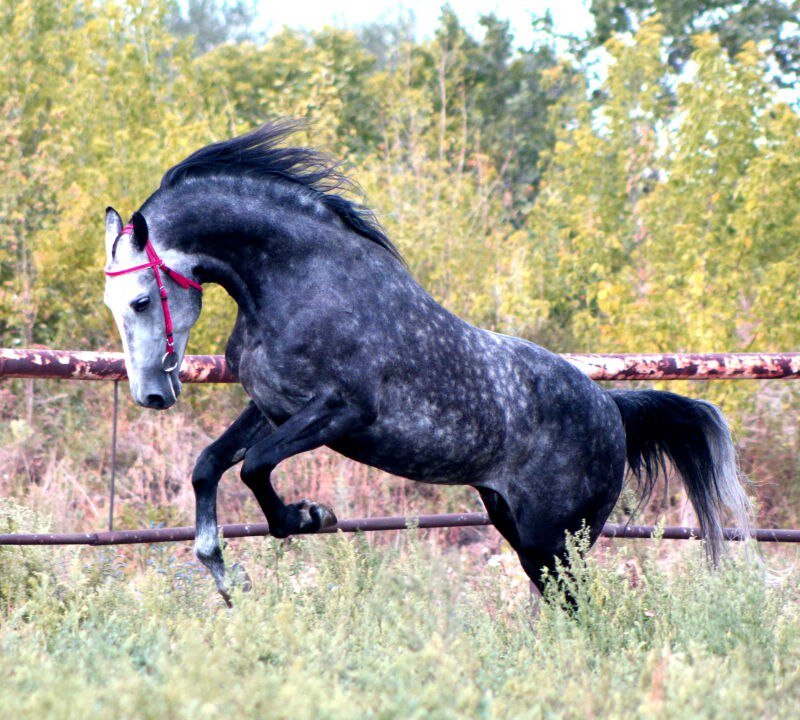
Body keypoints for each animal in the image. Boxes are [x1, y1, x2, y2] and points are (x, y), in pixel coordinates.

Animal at [103, 121, 752, 604]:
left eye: (141, 300)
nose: (152, 395)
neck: (295, 282)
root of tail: (612, 409)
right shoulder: (272, 406)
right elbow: (209, 466)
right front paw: (221, 570)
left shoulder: (340, 412)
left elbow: (255, 467)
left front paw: (311, 517)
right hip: (518, 528)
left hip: (557, 538)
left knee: (590, 608)